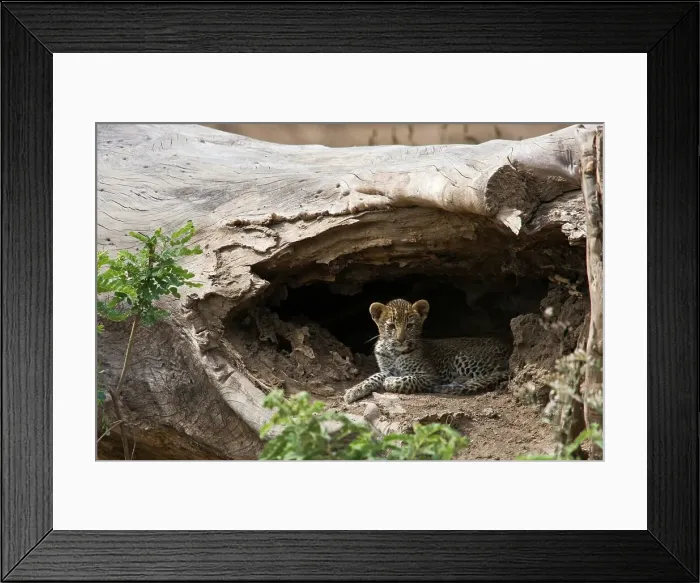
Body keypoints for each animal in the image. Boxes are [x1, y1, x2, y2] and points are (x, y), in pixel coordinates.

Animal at [343, 298, 512, 404]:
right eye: (391, 326)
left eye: (409, 326)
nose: (401, 339)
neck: (394, 352)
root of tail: (509, 347)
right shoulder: (386, 369)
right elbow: (374, 377)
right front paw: (354, 391)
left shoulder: (429, 375)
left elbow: (407, 379)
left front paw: (390, 382)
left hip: (463, 357)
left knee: (496, 373)